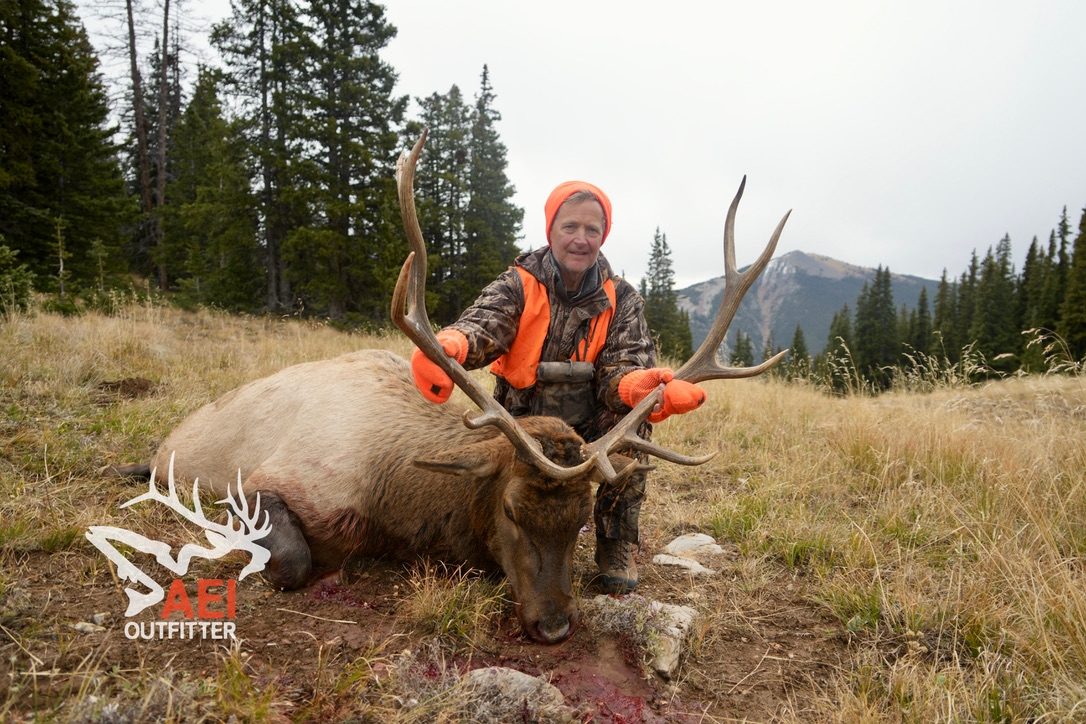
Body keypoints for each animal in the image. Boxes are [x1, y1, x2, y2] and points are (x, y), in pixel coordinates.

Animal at [111, 131, 790, 644]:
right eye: (511, 510)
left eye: (580, 520)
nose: (554, 626)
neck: (391, 501)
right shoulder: (270, 480)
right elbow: (295, 559)